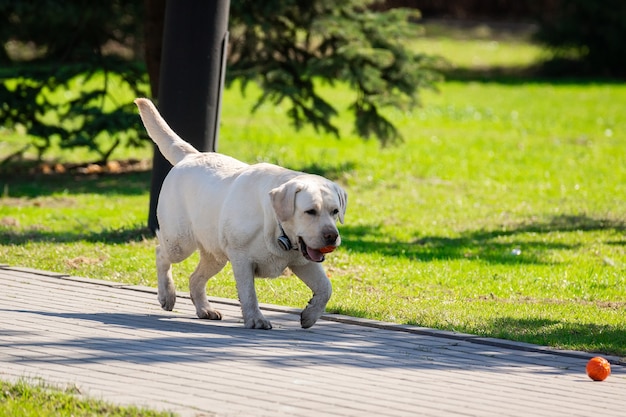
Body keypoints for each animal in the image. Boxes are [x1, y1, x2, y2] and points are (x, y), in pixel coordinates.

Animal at [135, 98, 346, 328]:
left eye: (335, 211)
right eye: (310, 211)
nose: (332, 236)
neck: (276, 227)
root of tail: (192, 155)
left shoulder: (303, 261)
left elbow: (326, 288)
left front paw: (309, 315)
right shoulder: (241, 258)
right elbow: (248, 293)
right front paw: (256, 319)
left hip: (215, 254)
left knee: (195, 278)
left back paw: (205, 309)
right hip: (180, 242)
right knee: (161, 253)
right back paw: (167, 295)